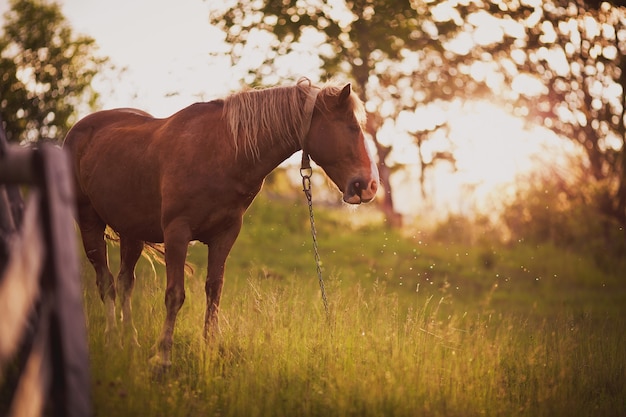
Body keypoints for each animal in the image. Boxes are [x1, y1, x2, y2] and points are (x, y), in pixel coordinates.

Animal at [63, 78, 378, 368]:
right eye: (353, 127)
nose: (369, 186)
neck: (222, 152)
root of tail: (77, 131)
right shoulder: (177, 233)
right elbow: (174, 295)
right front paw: (163, 357)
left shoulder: (225, 235)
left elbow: (214, 292)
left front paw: (210, 351)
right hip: (90, 224)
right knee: (106, 283)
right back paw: (113, 341)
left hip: (132, 233)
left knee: (125, 281)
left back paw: (130, 341)